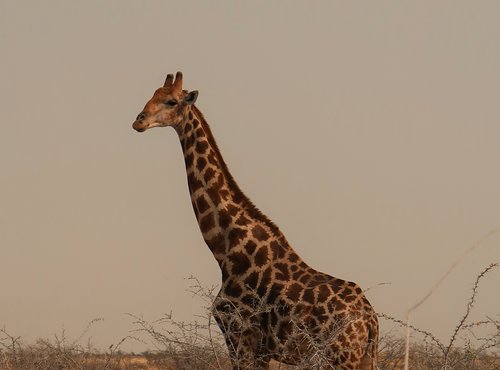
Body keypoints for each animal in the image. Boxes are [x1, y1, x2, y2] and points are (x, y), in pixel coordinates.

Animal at [133, 71, 378, 368]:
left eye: (171, 101)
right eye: (152, 95)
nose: (139, 121)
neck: (226, 249)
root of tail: (370, 320)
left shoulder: (238, 334)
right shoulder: (259, 349)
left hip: (340, 356)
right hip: (362, 357)